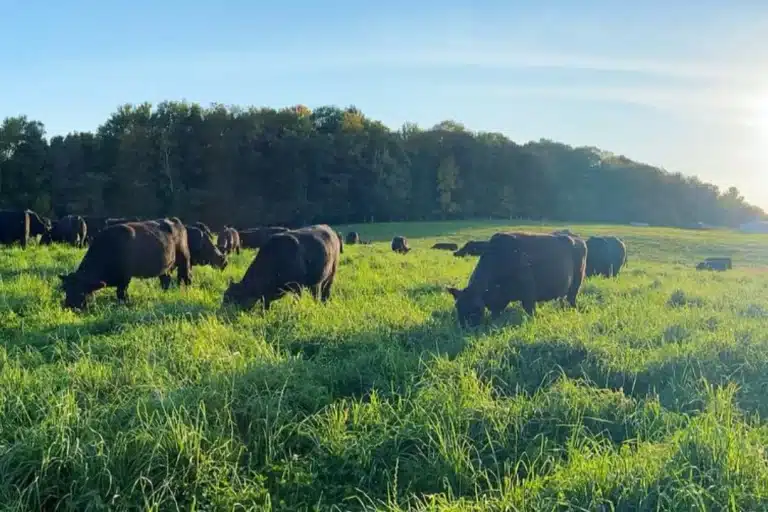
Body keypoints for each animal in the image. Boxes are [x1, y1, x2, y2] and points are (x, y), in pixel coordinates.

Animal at [58, 218, 192, 310]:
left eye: (81, 292)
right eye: (66, 289)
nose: (68, 306)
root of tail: (176, 221)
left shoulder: (125, 277)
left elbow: (121, 293)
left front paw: (125, 303)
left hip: (184, 258)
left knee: (185, 276)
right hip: (165, 267)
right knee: (166, 279)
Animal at [446, 232, 587, 327]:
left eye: (476, 308)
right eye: (457, 306)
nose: (465, 328)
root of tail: (578, 239)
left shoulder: (529, 294)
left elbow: (530, 310)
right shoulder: (498, 301)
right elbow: (495, 314)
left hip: (577, 283)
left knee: (571, 299)